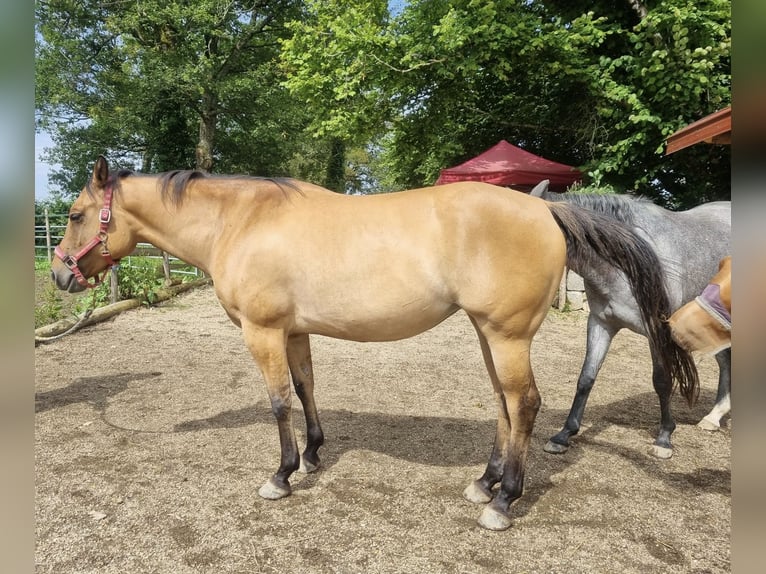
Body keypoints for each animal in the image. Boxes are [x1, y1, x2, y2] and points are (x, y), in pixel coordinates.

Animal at [48, 156, 700, 532]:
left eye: (76, 215)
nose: (58, 275)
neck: (243, 222)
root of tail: (545, 208)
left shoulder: (264, 332)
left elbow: (278, 401)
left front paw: (282, 475)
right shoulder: (294, 331)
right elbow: (306, 389)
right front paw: (313, 454)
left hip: (507, 333)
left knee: (526, 403)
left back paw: (504, 501)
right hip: (488, 333)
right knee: (504, 403)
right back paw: (484, 482)